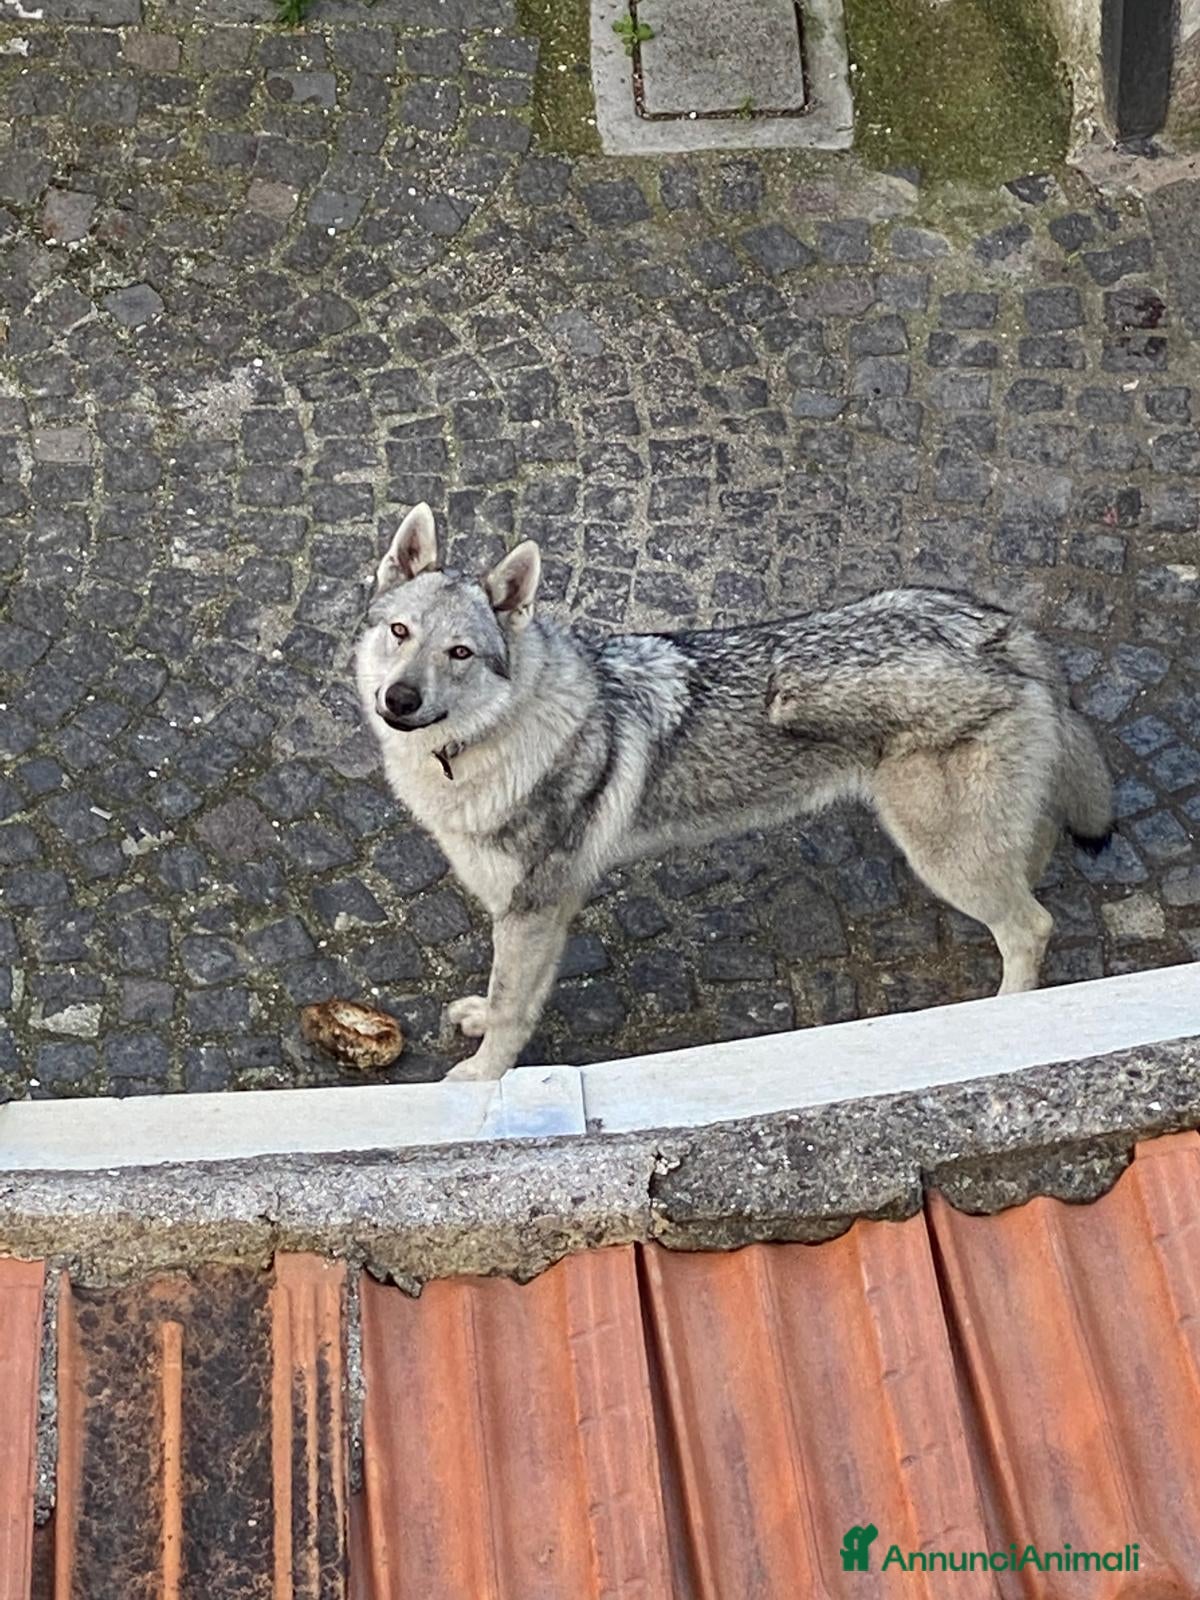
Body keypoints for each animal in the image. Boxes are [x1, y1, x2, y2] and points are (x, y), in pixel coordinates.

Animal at [355, 503, 1113, 1081]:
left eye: (460, 652)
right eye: (400, 632)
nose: (399, 699)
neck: (494, 741)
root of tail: (1002, 630)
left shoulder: (533, 911)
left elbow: (513, 1009)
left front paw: (481, 1080)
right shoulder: (534, 912)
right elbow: (509, 996)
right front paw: (479, 1026)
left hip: (946, 859)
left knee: (1032, 926)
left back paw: (1003, 1019)